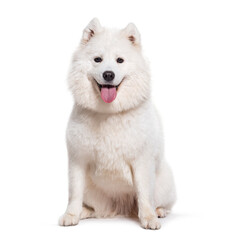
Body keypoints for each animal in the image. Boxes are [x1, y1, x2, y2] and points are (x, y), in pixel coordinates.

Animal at [59, 18, 176, 229]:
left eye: (119, 60)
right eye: (97, 59)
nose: (108, 74)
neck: (109, 112)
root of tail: (122, 208)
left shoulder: (141, 161)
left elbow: (144, 195)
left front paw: (148, 219)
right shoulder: (78, 159)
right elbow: (74, 193)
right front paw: (71, 214)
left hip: (164, 182)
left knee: (158, 202)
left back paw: (158, 211)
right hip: (93, 191)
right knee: (97, 209)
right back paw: (84, 212)